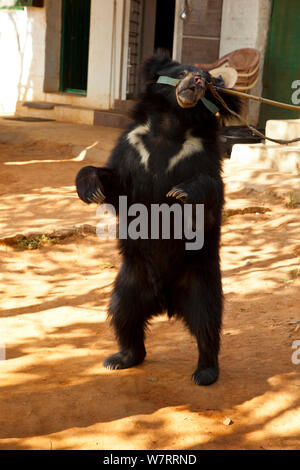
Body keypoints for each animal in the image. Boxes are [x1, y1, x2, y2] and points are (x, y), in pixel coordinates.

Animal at [76, 55, 240, 386]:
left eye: (209, 81)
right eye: (182, 72)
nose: (197, 81)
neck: (172, 125)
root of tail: (165, 300)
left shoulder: (201, 153)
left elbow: (211, 189)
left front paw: (179, 192)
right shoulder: (132, 147)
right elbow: (115, 182)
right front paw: (91, 188)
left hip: (201, 279)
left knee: (207, 322)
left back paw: (205, 372)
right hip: (130, 280)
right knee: (123, 314)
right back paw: (120, 358)